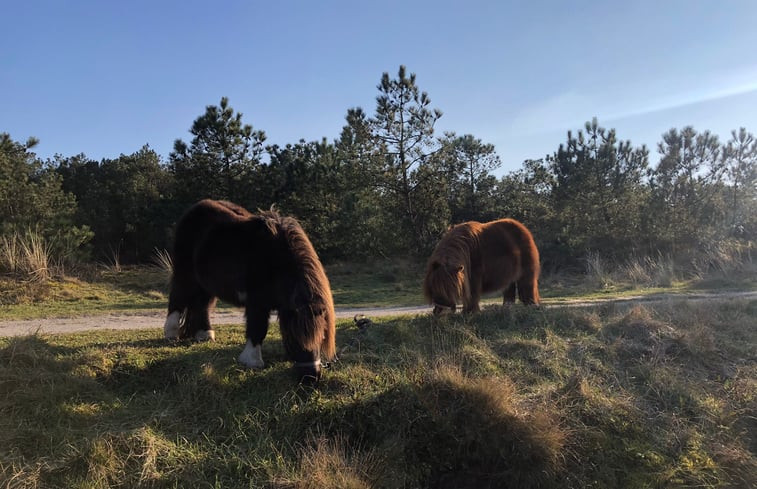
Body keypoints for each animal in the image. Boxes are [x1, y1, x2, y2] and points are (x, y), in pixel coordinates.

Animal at [164, 199, 336, 382]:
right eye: (294, 337)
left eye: (322, 336)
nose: (311, 377)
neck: (276, 261)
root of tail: (194, 209)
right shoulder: (257, 302)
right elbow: (258, 328)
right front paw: (252, 361)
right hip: (185, 274)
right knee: (177, 299)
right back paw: (171, 334)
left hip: (206, 284)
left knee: (201, 305)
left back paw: (205, 334)